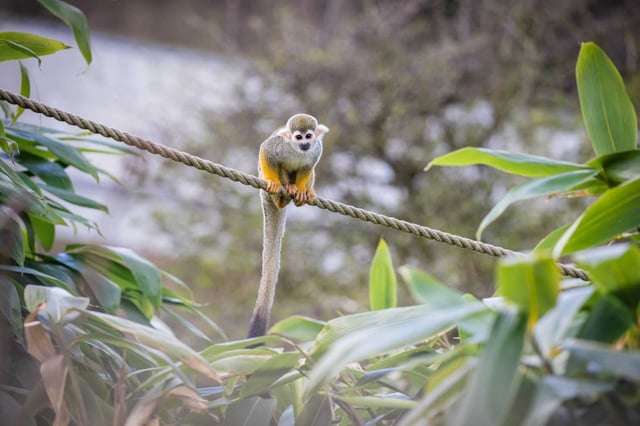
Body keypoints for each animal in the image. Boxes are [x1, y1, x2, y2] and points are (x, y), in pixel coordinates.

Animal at [247, 113, 329, 338]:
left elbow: (308, 167)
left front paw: (301, 190)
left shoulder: (316, 149)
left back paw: (301, 193)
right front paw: (273, 182)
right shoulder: (279, 146)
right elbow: (266, 151)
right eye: (298, 137)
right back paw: (280, 197)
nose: (305, 144)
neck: (298, 150)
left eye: (309, 136)